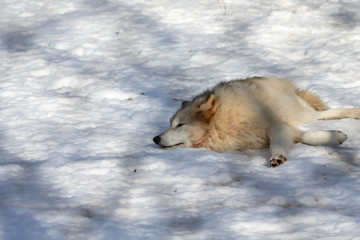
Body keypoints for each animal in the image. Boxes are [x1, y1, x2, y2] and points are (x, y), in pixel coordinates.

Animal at [153, 77, 360, 167]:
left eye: (180, 125)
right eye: (170, 124)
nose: (155, 138)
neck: (225, 123)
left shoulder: (276, 125)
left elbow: (281, 143)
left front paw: (277, 157)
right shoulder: (284, 128)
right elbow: (305, 136)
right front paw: (335, 136)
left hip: (300, 113)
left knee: (328, 112)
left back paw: (355, 111)